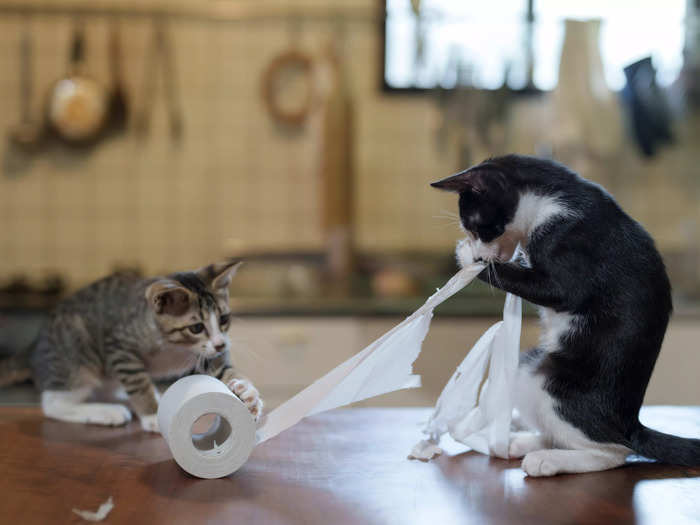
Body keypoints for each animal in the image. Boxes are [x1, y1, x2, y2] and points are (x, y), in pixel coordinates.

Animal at [0, 258, 262, 430]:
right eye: (196, 327)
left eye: (224, 319)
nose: (220, 344)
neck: (174, 346)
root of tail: (33, 346)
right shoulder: (119, 346)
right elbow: (138, 382)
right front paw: (153, 415)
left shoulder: (208, 353)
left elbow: (224, 368)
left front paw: (247, 392)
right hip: (76, 355)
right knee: (53, 403)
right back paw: (105, 412)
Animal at [432, 155, 700, 474]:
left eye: (477, 227)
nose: (481, 248)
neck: (554, 198)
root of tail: (629, 424)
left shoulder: (573, 244)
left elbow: (552, 289)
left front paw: (469, 256)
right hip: (529, 363)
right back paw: (522, 443)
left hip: (550, 382)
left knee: (612, 452)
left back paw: (547, 459)